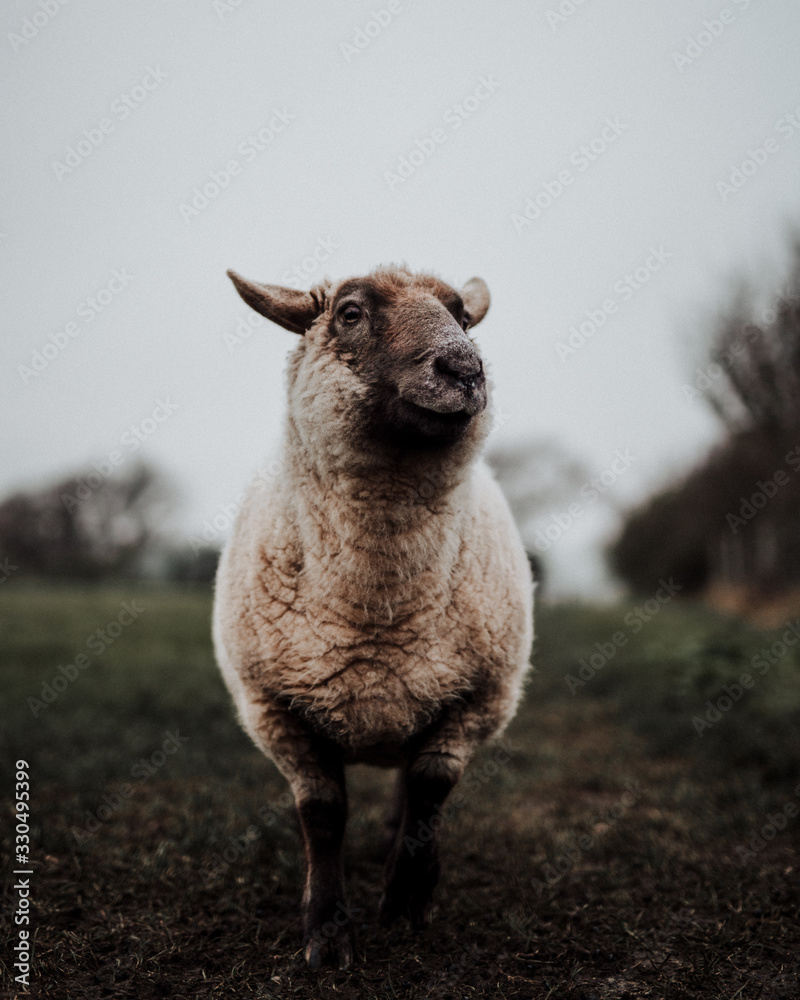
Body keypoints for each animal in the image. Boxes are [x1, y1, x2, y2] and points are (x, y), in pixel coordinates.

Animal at [212, 264, 533, 970]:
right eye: (351, 313)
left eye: (462, 317)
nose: (464, 369)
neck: (379, 613)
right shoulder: (274, 708)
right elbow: (323, 813)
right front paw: (327, 932)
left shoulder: (478, 698)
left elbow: (431, 789)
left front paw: (408, 901)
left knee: (410, 790)